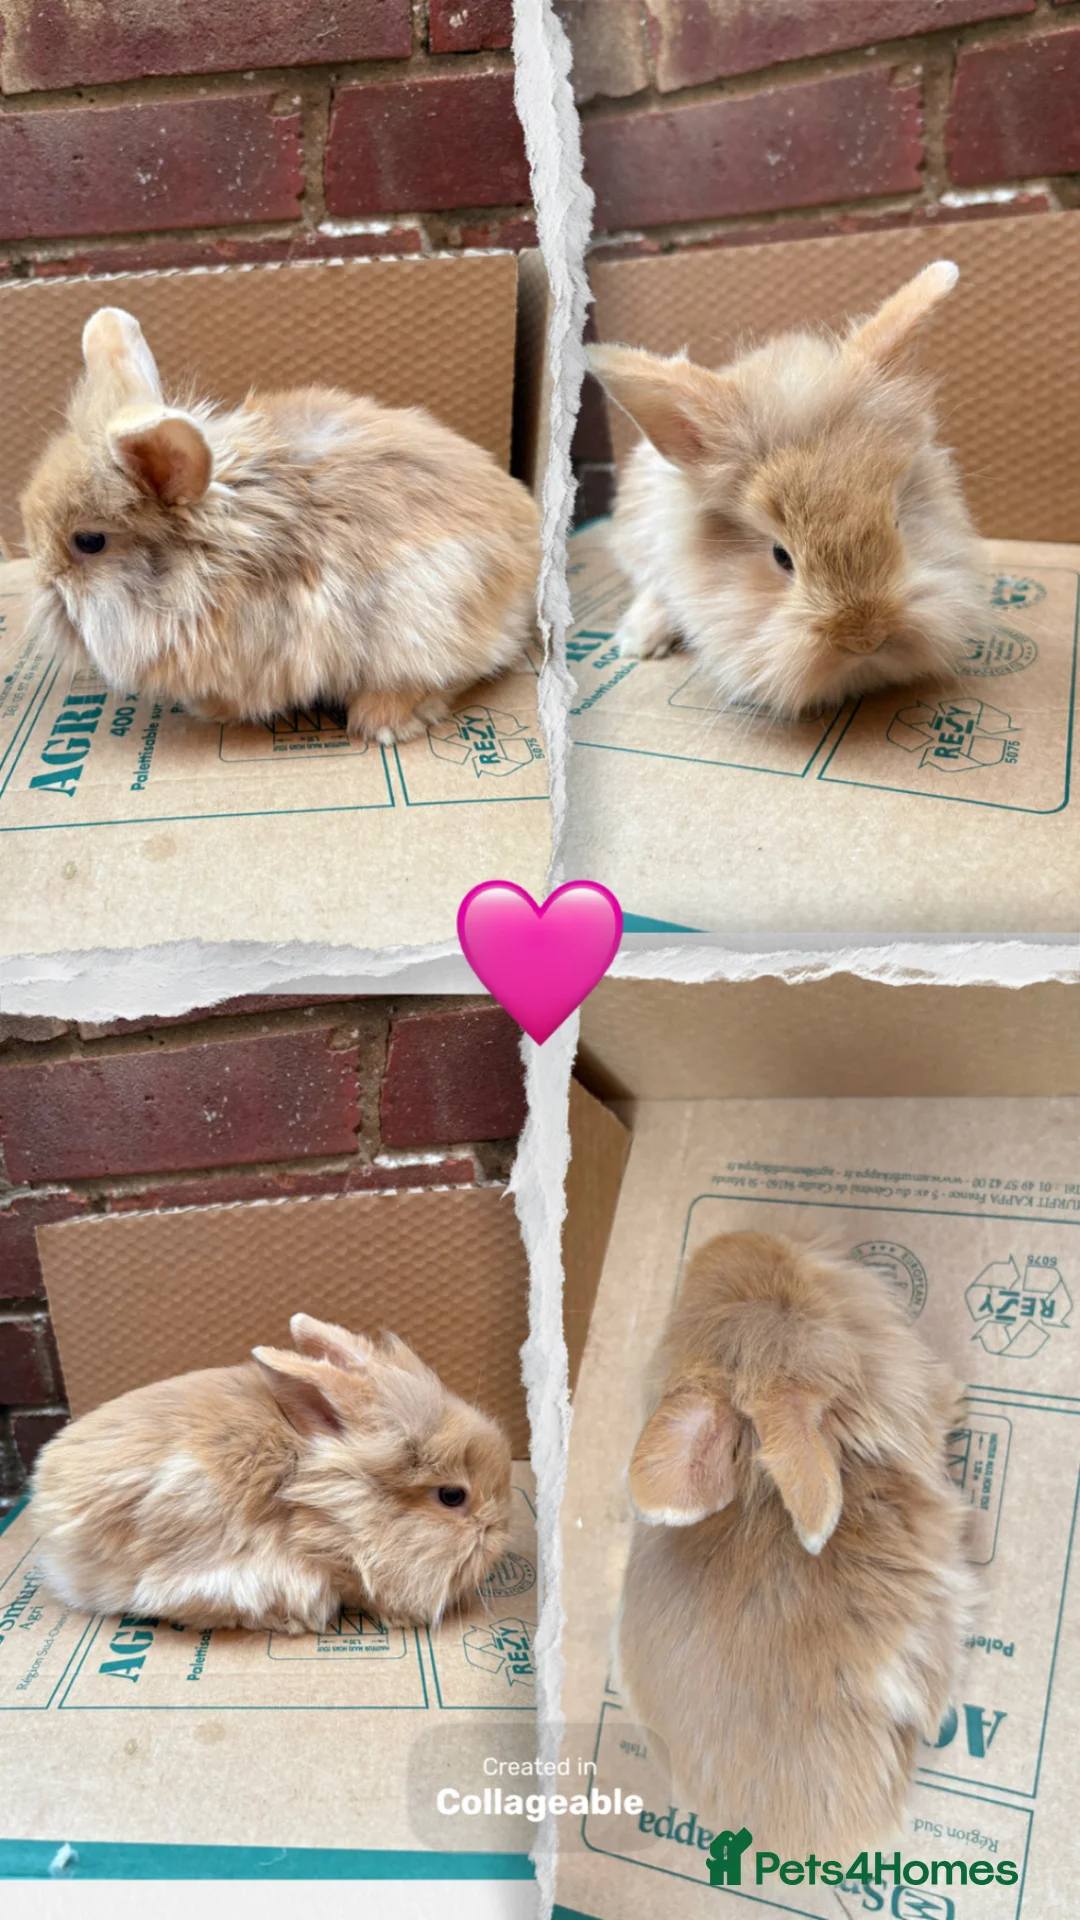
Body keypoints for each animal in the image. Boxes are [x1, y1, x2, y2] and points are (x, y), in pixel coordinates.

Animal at [18, 307, 541, 743]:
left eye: (89, 541)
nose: (44, 586)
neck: (209, 568)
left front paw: (210, 710)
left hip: (428, 612)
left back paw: (382, 723)